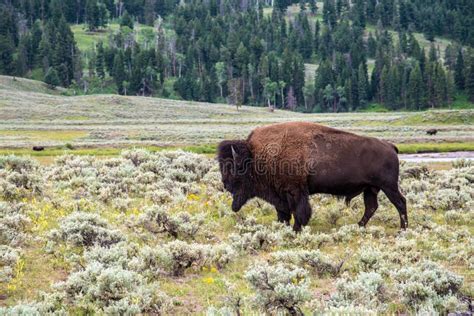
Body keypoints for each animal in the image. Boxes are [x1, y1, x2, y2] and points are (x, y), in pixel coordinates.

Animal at [218, 122, 408, 231]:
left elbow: (299, 211)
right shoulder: (281, 194)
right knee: (371, 207)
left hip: (388, 186)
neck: (256, 155)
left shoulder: (295, 191)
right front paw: (283, 227)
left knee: (400, 202)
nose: (225, 184)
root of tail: (390, 146)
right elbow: (283, 212)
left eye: (234, 167)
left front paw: (296, 229)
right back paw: (358, 226)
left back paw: (403, 229)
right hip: (371, 188)